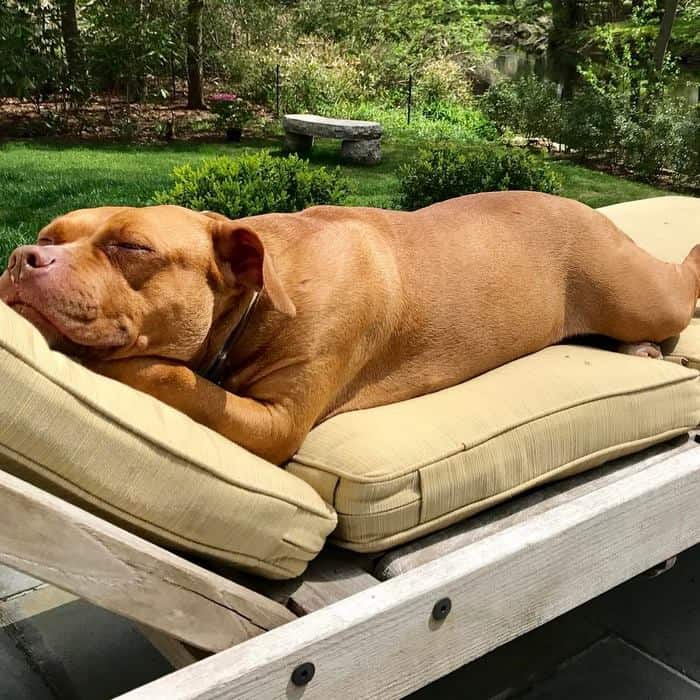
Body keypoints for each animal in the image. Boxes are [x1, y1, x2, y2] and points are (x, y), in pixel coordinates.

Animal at [1, 191, 700, 464]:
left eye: (132, 248)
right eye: (49, 236)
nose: (23, 256)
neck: (257, 298)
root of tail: (588, 208)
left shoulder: (276, 423)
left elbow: (168, 375)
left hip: (639, 292)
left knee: (678, 291)